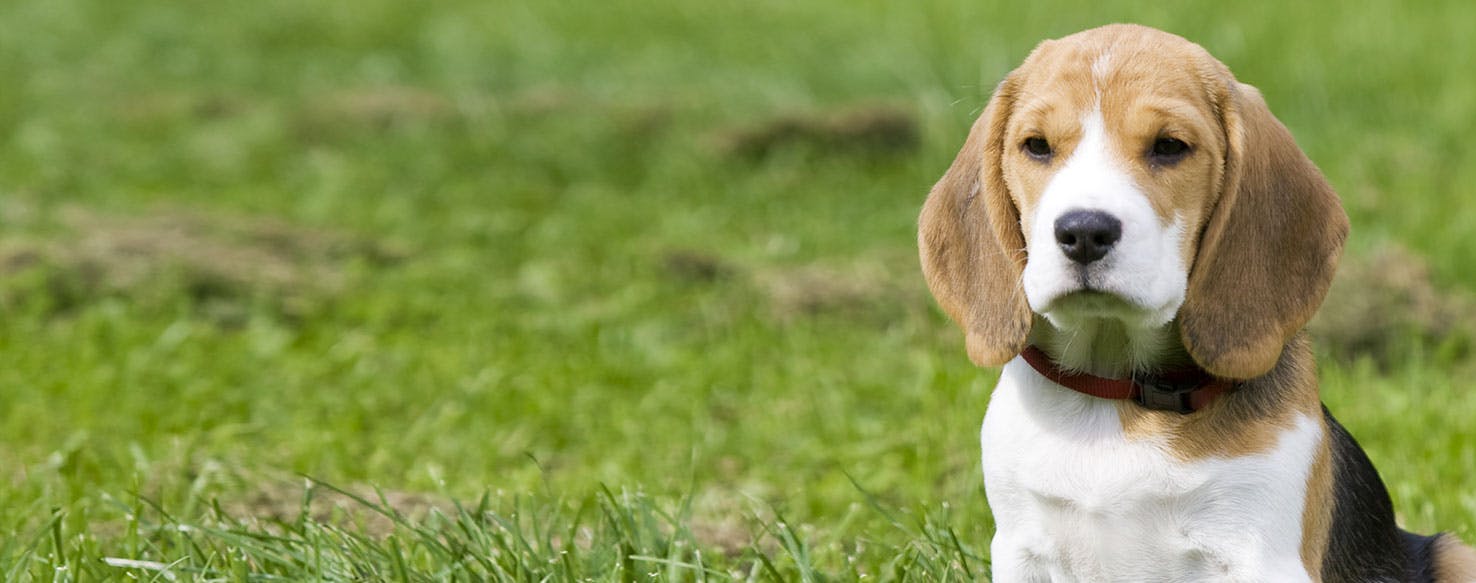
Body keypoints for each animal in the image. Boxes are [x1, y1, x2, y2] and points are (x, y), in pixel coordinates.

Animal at [921, 23, 1476, 583]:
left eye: (1170, 147)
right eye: (1036, 146)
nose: (1083, 232)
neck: (1116, 392)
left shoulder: (1263, 551)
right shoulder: (1020, 545)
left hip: (1456, 553)